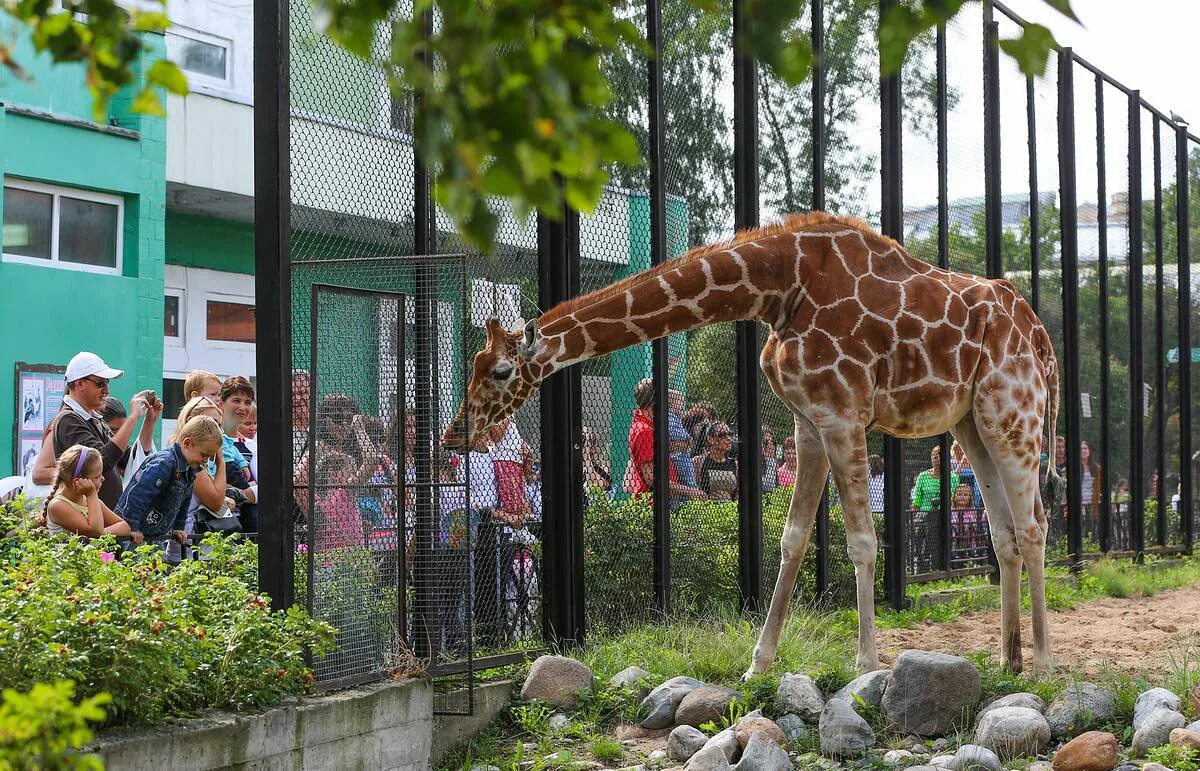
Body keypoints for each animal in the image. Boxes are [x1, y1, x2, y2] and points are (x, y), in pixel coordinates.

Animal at [448, 213, 1060, 677]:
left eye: (500, 371)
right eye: (475, 364)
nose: (457, 433)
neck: (780, 286)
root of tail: (1041, 337)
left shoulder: (843, 414)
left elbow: (862, 542)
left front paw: (866, 665)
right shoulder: (808, 421)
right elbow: (790, 540)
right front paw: (757, 664)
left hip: (1013, 413)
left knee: (1035, 526)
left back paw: (1044, 663)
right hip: (971, 422)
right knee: (1004, 532)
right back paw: (1007, 662)